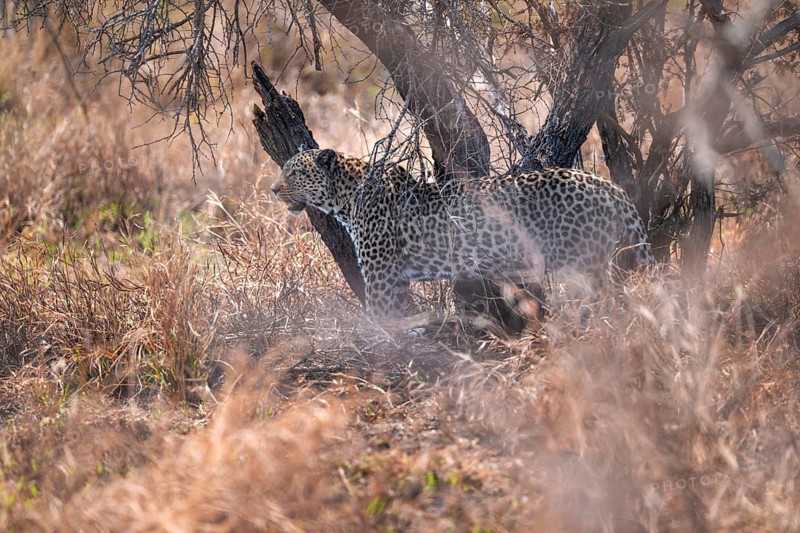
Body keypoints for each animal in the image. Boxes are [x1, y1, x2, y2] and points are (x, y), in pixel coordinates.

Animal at [271, 148, 654, 320]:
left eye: (293, 173)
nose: (273, 189)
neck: (346, 197)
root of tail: (607, 185)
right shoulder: (396, 278)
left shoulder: (380, 275)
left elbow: (379, 315)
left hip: (583, 262)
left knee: (605, 300)